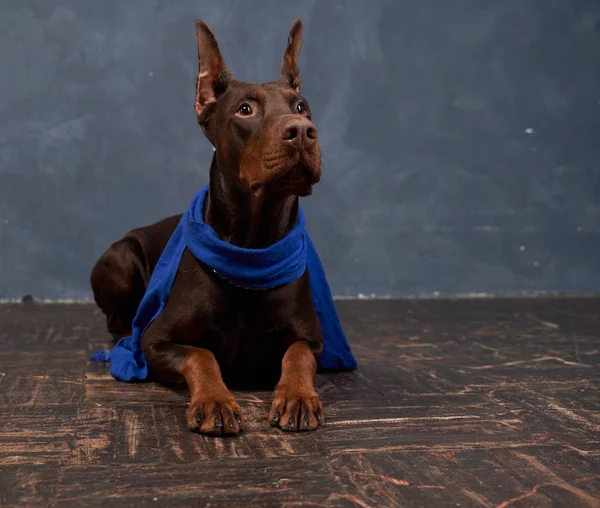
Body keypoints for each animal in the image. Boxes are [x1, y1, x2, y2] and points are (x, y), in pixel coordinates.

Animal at [89, 19, 326, 436]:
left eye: (301, 106)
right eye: (245, 110)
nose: (302, 130)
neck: (251, 248)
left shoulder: (312, 338)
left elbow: (298, 355)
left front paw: (297, 396)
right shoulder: (156, 341)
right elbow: (201, 355)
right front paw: (215, 400)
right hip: (120, 260)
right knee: (117, 321)